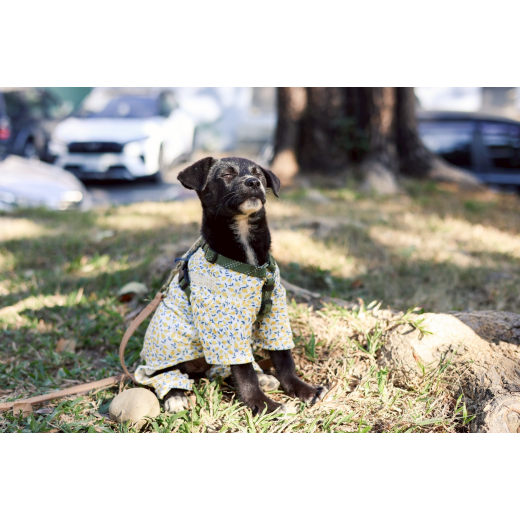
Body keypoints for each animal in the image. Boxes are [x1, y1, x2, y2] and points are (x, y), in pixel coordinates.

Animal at [135, 157, 326, 415]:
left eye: (259, 174)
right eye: (226, 174)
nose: (253, 182)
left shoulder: (275, 313)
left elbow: (284, 358)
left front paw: (302, 389)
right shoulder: (224, 324)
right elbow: (243, 372)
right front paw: (263, 405)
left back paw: (263, 376)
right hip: (167, 343)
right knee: (162, 374)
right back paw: (175, 396)